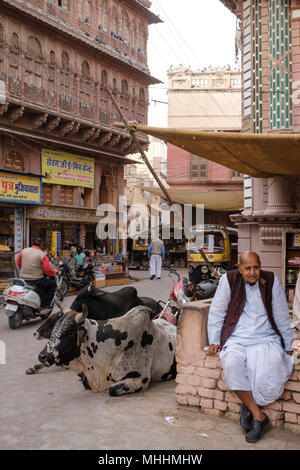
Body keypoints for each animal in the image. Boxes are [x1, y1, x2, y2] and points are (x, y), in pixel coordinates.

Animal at [38, 304, 177, 396]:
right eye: (54, 329)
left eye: (67, 332)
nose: (42, 356)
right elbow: (85, 382)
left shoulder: (141, 379)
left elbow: (111, 389)